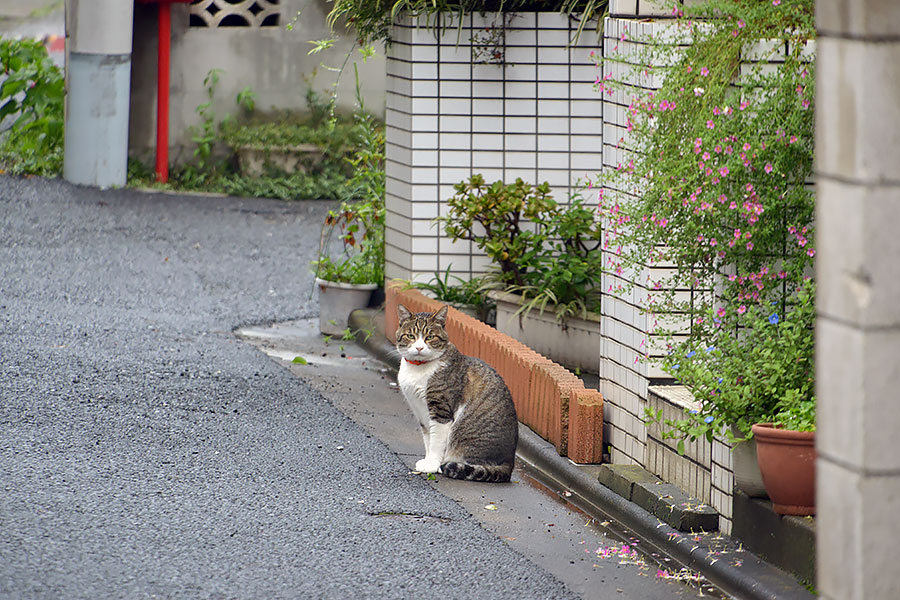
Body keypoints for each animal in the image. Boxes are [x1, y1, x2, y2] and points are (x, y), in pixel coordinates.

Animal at [396, 304, 516, 482]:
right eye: (411, 335)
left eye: (430, 337)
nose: (419, 347)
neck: (418, 369)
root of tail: (510, 461)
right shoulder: (420, 411)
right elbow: (428, 438)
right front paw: (428, 461)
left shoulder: (441, 409)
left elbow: (436, 442)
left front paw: (432, 465)